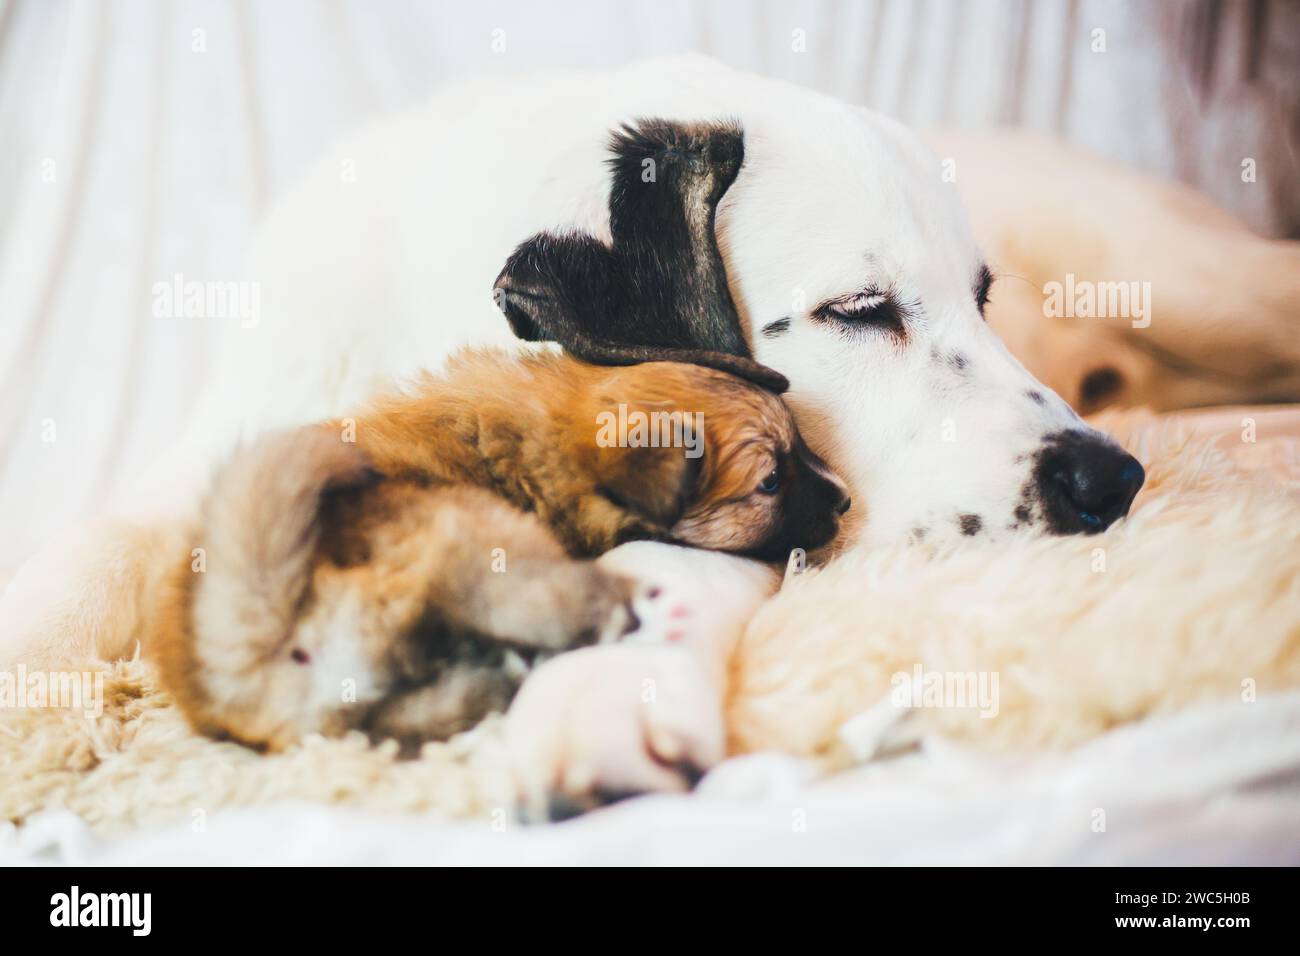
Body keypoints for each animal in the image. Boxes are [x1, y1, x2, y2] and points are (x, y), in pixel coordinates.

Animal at [152, 348, 847, 749]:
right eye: (771, 482)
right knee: (552, 604)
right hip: (482, 534)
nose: (844, 499)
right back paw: (631, 607)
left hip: (358, 710)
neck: (552, 442)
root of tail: (254, 645)